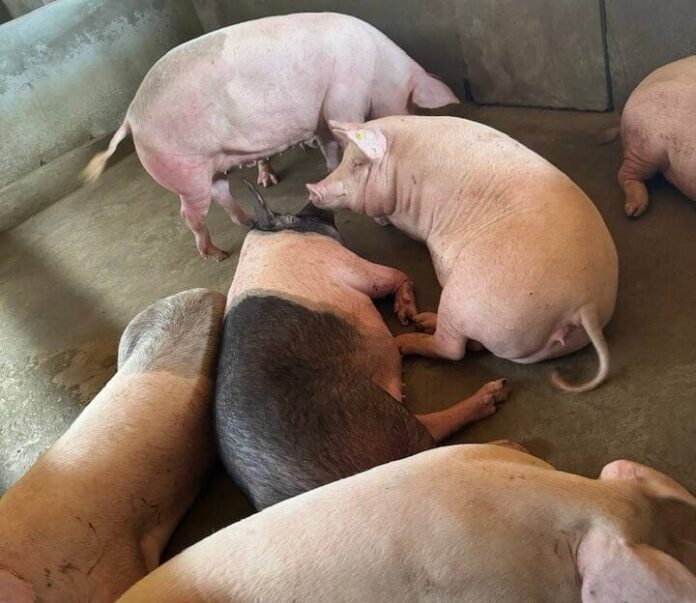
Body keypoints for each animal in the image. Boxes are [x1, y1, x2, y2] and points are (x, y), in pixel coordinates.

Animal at [82, 12, 459, 260]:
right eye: (411, 104)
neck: (380, 71)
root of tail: (131, 116)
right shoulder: (343, 97)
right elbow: (346, 134)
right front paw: (382, 220)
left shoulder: (321, 119)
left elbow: (329, 150)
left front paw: (329, 168)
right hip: (185, 168)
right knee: (191, 213)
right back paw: (217, 253)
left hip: (213, 164)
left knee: (221, 193)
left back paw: (248, 221)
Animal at [214, 180, 510, 510]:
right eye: (296, 215)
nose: (314, 199)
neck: (271, 234)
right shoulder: (352, 265)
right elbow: (396, 275)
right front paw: (406, 314)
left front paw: (406, 316)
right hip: (380, 417)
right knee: (429, 435)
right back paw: (496, 402)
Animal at [307, 116, 619, 392]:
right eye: (346, 159)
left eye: (358, 163)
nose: (312, 190)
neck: (401, 167)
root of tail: (585, 307)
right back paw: (423, 322)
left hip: (466, 294)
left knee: (452, 349)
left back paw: (405, 340)